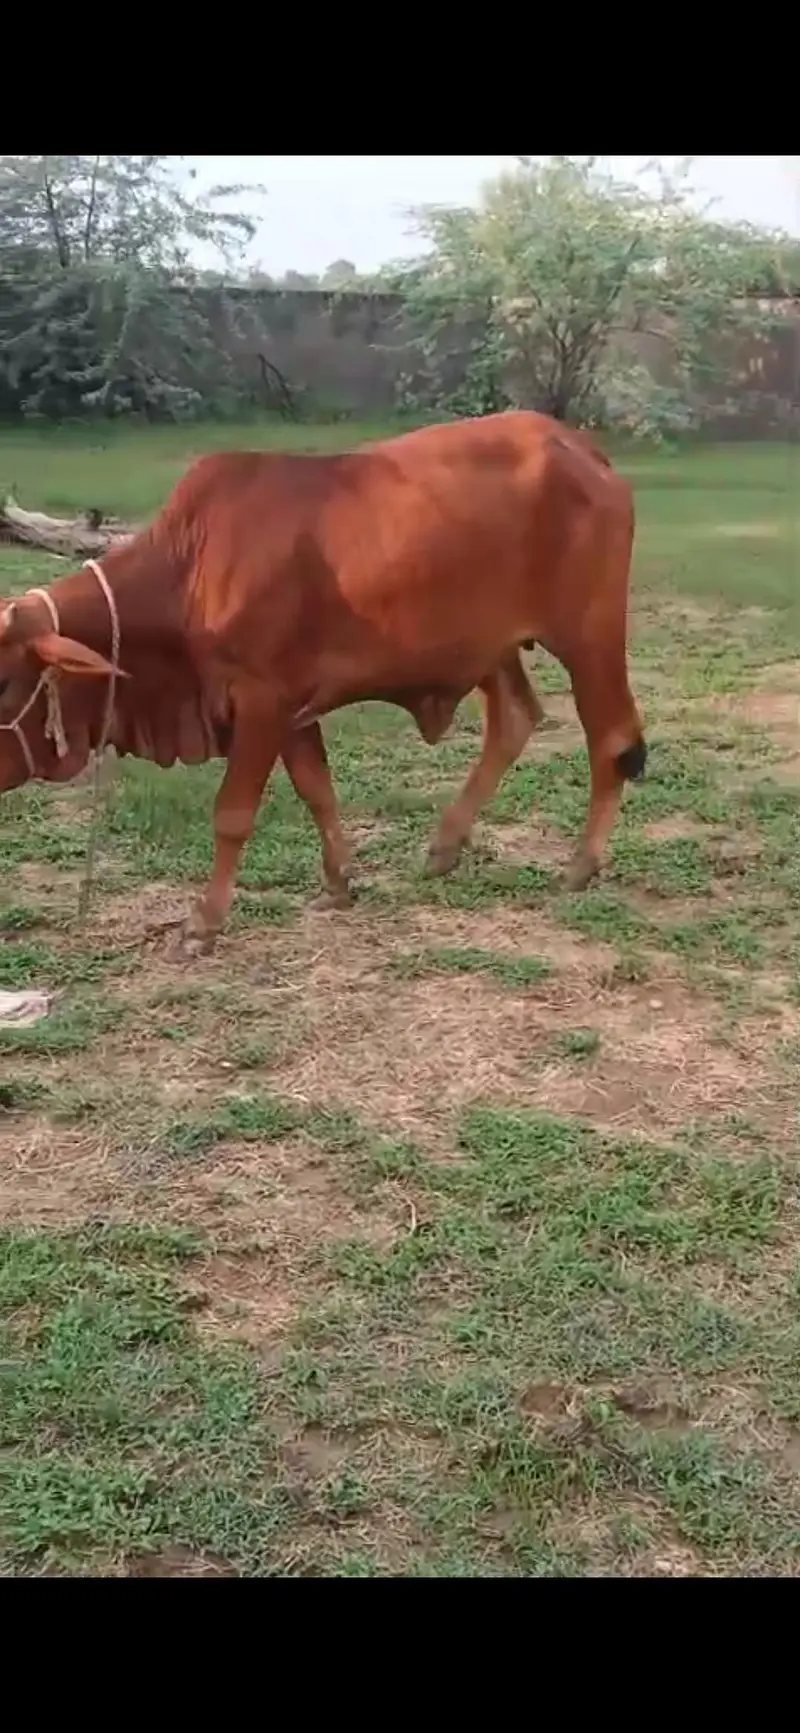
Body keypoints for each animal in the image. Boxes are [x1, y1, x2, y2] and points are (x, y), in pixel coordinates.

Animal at [0, 410, 644, 953]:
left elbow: (233, 814)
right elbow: (317, 789)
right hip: (493, 648)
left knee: (612, 739)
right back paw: (445, 847)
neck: (187, 574)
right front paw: (338, 882)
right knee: (514, 721)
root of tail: (579, 445)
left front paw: (203, 923)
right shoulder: (290, 708)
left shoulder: (261, 701)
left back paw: (580, 865)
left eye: (5, 682)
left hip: (588, 636)